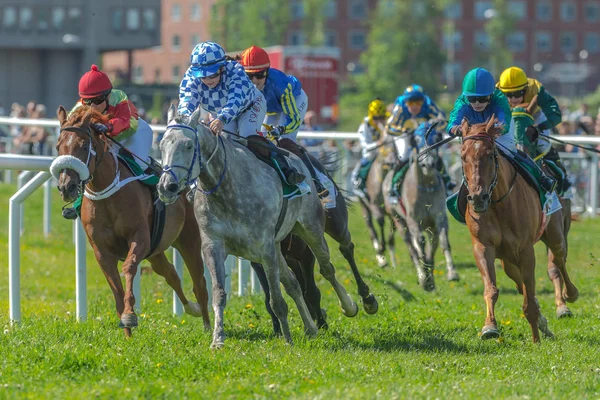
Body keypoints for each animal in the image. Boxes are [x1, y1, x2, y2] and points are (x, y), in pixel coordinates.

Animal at [50, 104, 212, 336]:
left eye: (83, 145)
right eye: (58, 146)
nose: (66, 187)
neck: (106, 194)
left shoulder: (139, 237)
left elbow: (128, 267)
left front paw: (130, 315)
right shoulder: (102, 251)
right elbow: (115, 286)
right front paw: (126, 330)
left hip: (189, 240)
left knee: (199, 282)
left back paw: (207, 323)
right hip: (156, 251)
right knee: (170, 273)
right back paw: (191, 308)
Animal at [157, 104, 358, 348]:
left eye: (187, 145)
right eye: (162, 145)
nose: (166, 187)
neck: (228, 189)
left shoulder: (265, 248)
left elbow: (277, 299)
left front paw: (288, 340)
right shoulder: (214, 245)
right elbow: (219, 294)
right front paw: (217, 339)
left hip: (311, 229)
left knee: (327, 267)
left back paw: (351, 305)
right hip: (279, 247)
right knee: (293, 283)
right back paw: (311, 327)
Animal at [382, 146, 458, 290]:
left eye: (434, 149)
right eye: (419, 151)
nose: (428, 165)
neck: (426, 188)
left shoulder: (439, 219)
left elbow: (443, 242)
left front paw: (452, 273)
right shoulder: (413, 221)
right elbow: (419, 245)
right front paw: (424, 278)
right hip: (399, 221)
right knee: (412, 248)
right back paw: (422, 274)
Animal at [460, 117, 576, 342]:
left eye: (490, 154)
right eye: (463, 156)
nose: (478, 198)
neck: (499, 204)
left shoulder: (525, 250)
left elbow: (529, 296)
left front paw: (536, 339)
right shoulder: (483, 246)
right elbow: (491, 289)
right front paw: (489, 326)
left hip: (555, 235)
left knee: (559, 261)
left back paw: (569, 297)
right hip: (508, 260)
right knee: (519, 279)